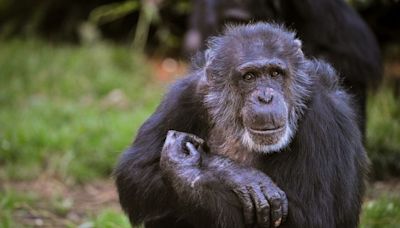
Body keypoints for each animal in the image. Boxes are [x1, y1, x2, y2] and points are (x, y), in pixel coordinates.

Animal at [114, 23, 368, 228]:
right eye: (249, 77)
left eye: (275, 73)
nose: (265, 97)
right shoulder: (186, 94)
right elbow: (135, 171)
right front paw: (235, 174)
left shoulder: (322, 116)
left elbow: (313, 217)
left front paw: (188, 168)